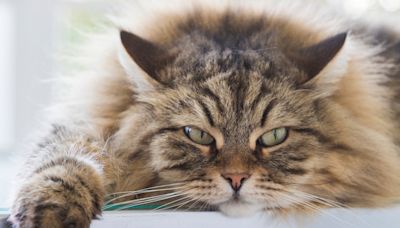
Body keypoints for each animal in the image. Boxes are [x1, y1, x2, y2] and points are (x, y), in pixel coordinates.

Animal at [7, 0, 400, 227]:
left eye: (274, 136)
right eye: (197, 135)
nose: (237, 179)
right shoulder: (90, 121)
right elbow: (62, 160)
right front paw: (51, 210)